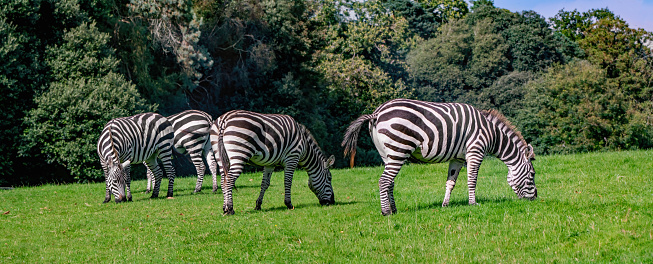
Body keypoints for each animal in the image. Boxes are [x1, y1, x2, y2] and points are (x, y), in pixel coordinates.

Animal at [342, 98, 536, 216]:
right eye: (533, 175)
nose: (535, 199)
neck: (491, 133)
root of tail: (377, 113)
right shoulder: (475, 151)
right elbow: (472, 179)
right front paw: (473, 203)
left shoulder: (458, 158)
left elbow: (451, 182)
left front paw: (445, 205)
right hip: (399, 149)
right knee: (384, 181)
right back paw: (386, 212)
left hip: (387, 153)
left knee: (389, 181)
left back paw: (395, 209)